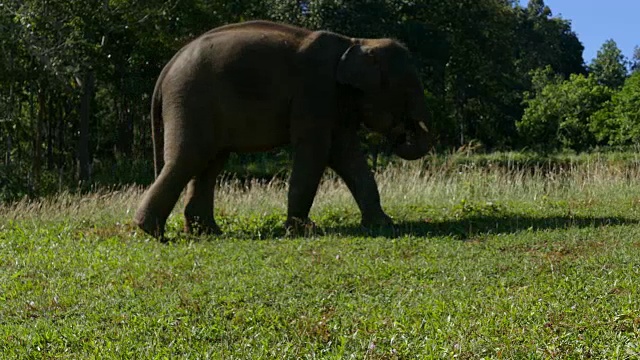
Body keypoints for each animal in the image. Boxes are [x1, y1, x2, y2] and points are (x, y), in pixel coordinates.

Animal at [135, 19, 436, 239]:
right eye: (407, 91)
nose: (402, 134)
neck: (356, 42)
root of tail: (168, 67)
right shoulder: (314, 91)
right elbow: (316, 151)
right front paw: (304, 230)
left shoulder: (336, 101)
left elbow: (346, 154)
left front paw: (384, 224)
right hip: (190, 100)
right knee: (190, 158)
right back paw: (152, 232)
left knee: (209, 162)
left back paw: (206, 233)